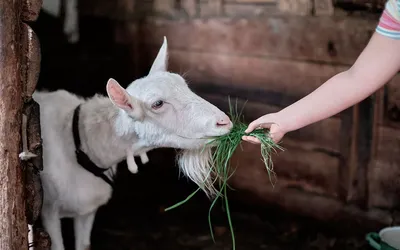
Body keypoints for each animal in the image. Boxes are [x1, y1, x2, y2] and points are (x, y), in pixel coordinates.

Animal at [32, 37, 233, 250]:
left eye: (185, 85)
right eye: (157, 104)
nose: (224, 121)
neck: (81, 145)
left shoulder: (87, 210)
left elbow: (84, 245)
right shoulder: (49, 211)